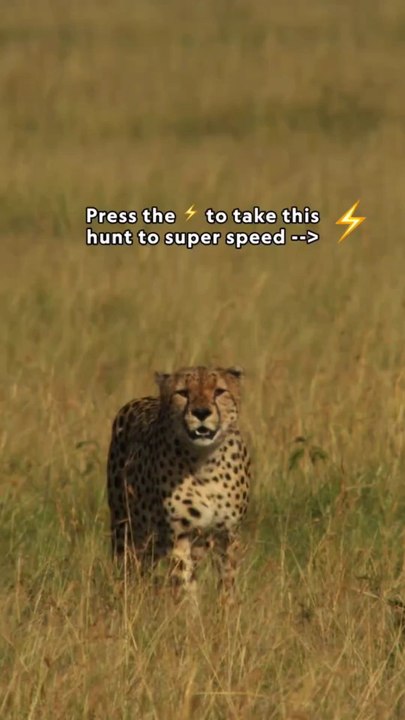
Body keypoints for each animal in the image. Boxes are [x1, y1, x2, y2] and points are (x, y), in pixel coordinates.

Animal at [107, 365, 251, 596]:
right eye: (183, 393)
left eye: (219, 391)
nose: (201, 412)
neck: (205, 462)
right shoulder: (179, 535)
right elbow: (184, 583)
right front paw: (189, 606)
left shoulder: (227, 533)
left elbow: (227, 581)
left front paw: (226, 606)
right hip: (127, 527)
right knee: (129, 566)